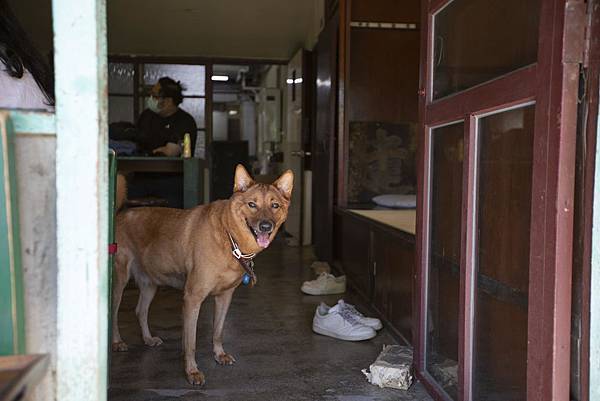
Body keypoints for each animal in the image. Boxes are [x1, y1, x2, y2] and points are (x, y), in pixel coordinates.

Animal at [112, 164, 292, 382]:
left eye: (275, 206)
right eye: (252, 204)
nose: (266, 226)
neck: (229, 238)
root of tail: (120, 214)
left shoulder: (225, 297)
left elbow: (218, 331)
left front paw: (219, 355)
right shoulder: (192, 298)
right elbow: (191, 343)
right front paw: (192, 371)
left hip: (150, 283)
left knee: (140, 310)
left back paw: (147, 338)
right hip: (119, 281)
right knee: (113, 313)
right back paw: (117, 342)